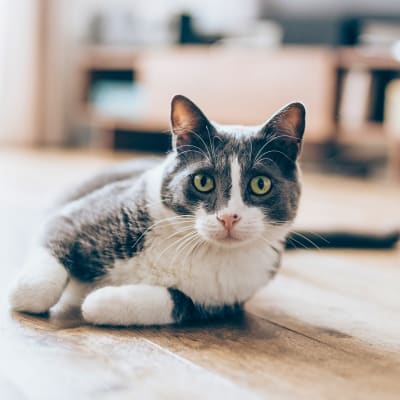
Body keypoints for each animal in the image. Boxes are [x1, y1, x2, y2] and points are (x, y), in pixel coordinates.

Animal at [5, 95, 322, 326]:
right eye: (203, 181)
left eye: (260, 184)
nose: (228, 217)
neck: (198, 247)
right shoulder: (73, 217)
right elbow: (35, 288)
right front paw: (23, 294)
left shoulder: (224, 299)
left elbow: (175, 302)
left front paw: (100, 300)